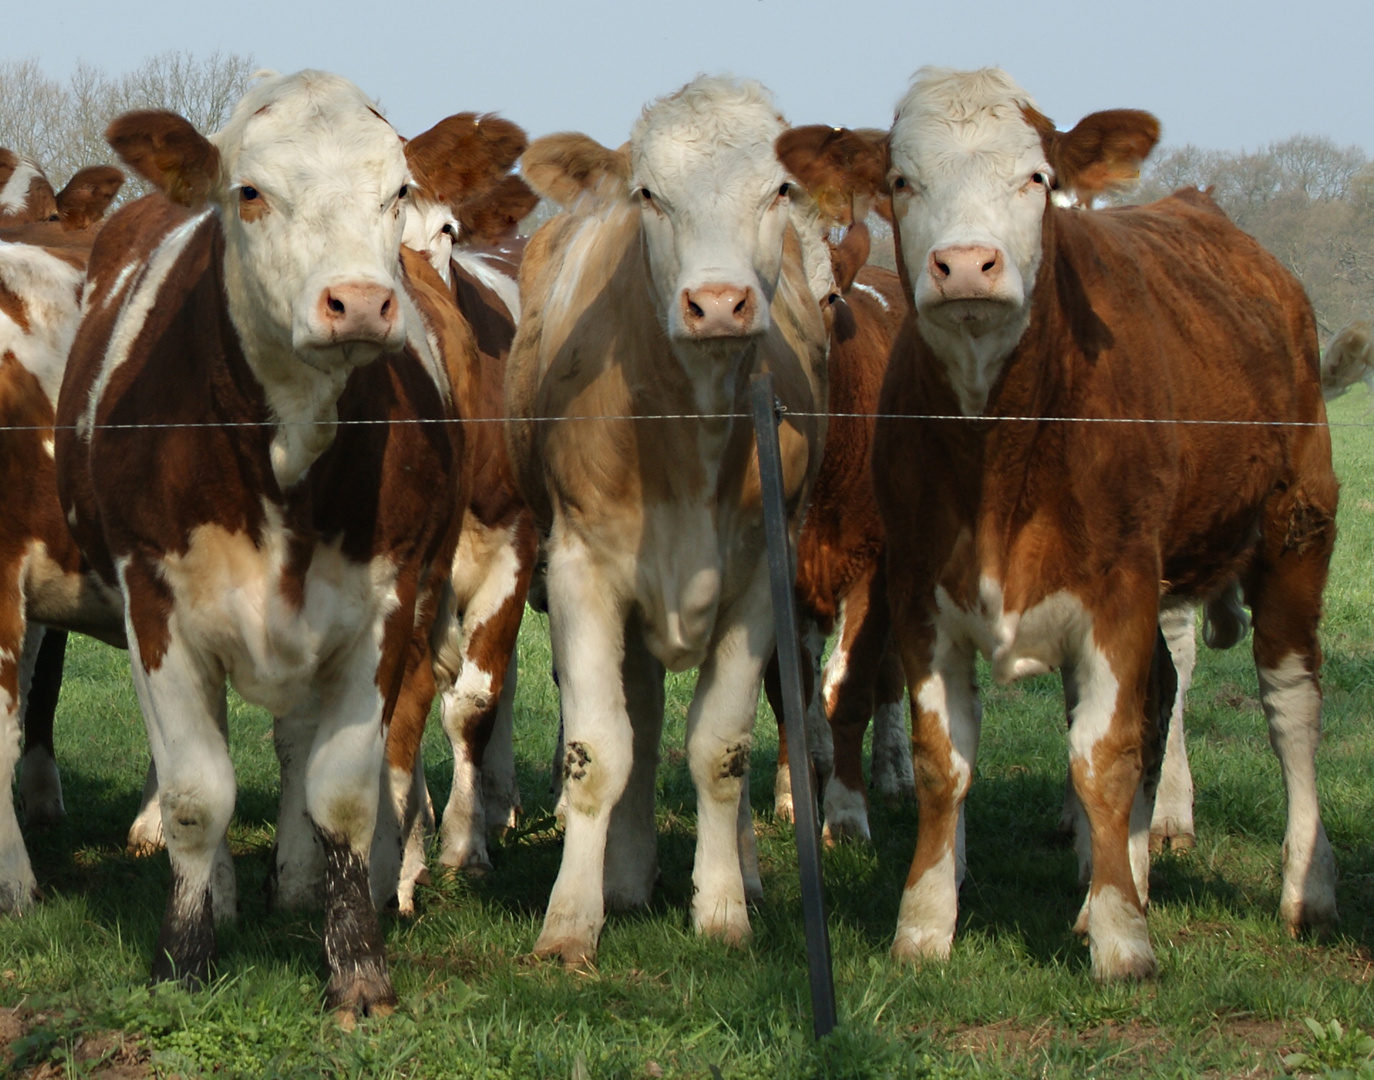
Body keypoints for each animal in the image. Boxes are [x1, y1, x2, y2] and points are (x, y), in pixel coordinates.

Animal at [50, 71, 472, 1016]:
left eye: (397, 192)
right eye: (249, 193)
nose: (360, 302)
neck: (289, 456)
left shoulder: (381, 611)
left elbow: (342, 793)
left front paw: (356, 967)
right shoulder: (156, 606)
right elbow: (196, 794)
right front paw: (184, 955)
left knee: (294, 748)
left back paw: (296, 881)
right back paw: (223, 894)